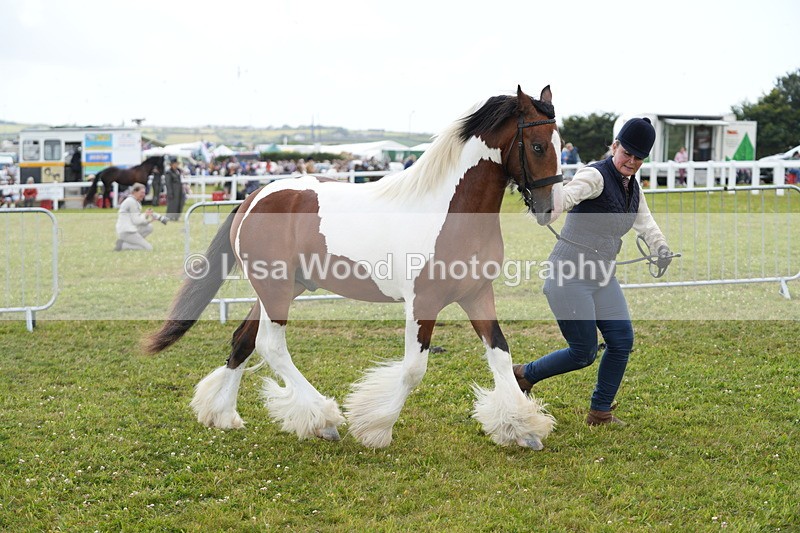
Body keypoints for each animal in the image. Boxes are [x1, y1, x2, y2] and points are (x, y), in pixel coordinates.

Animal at [145, 86, 565, 450]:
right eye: (538, 145)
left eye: (561, 145)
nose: (550, 208)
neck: (450, 210)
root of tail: (253, 197)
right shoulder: (422, 302)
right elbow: (413, 369)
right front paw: (376, 428)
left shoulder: (477, 295)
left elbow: (501, 353)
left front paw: (523, 429)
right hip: (275, 289)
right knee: (270, 346)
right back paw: (323, 419)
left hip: (281, 289)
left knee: (243, 339)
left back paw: (222, 414)